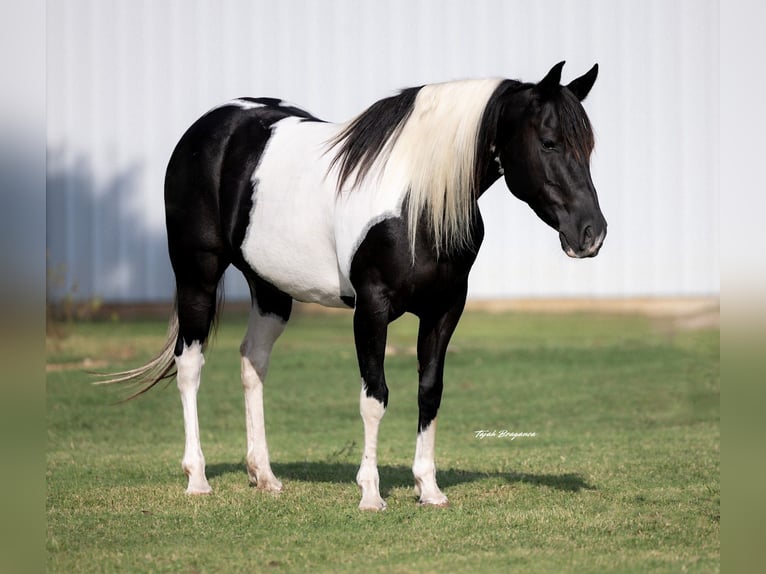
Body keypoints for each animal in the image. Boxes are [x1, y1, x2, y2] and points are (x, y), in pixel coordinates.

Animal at [101, 61, 606, 510]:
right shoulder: (372, 309)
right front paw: (370, 494)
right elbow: (374, 397)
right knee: (190, 364)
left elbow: (430, 391)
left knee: (253, 362)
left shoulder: (445, 308)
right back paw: (198, 478)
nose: (592, 234)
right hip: (197, 274)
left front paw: (429, 489)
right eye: (549, 142)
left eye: (588, 146)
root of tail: (210, 126)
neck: (414, 201)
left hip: (270, 288)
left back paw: (264, 475)